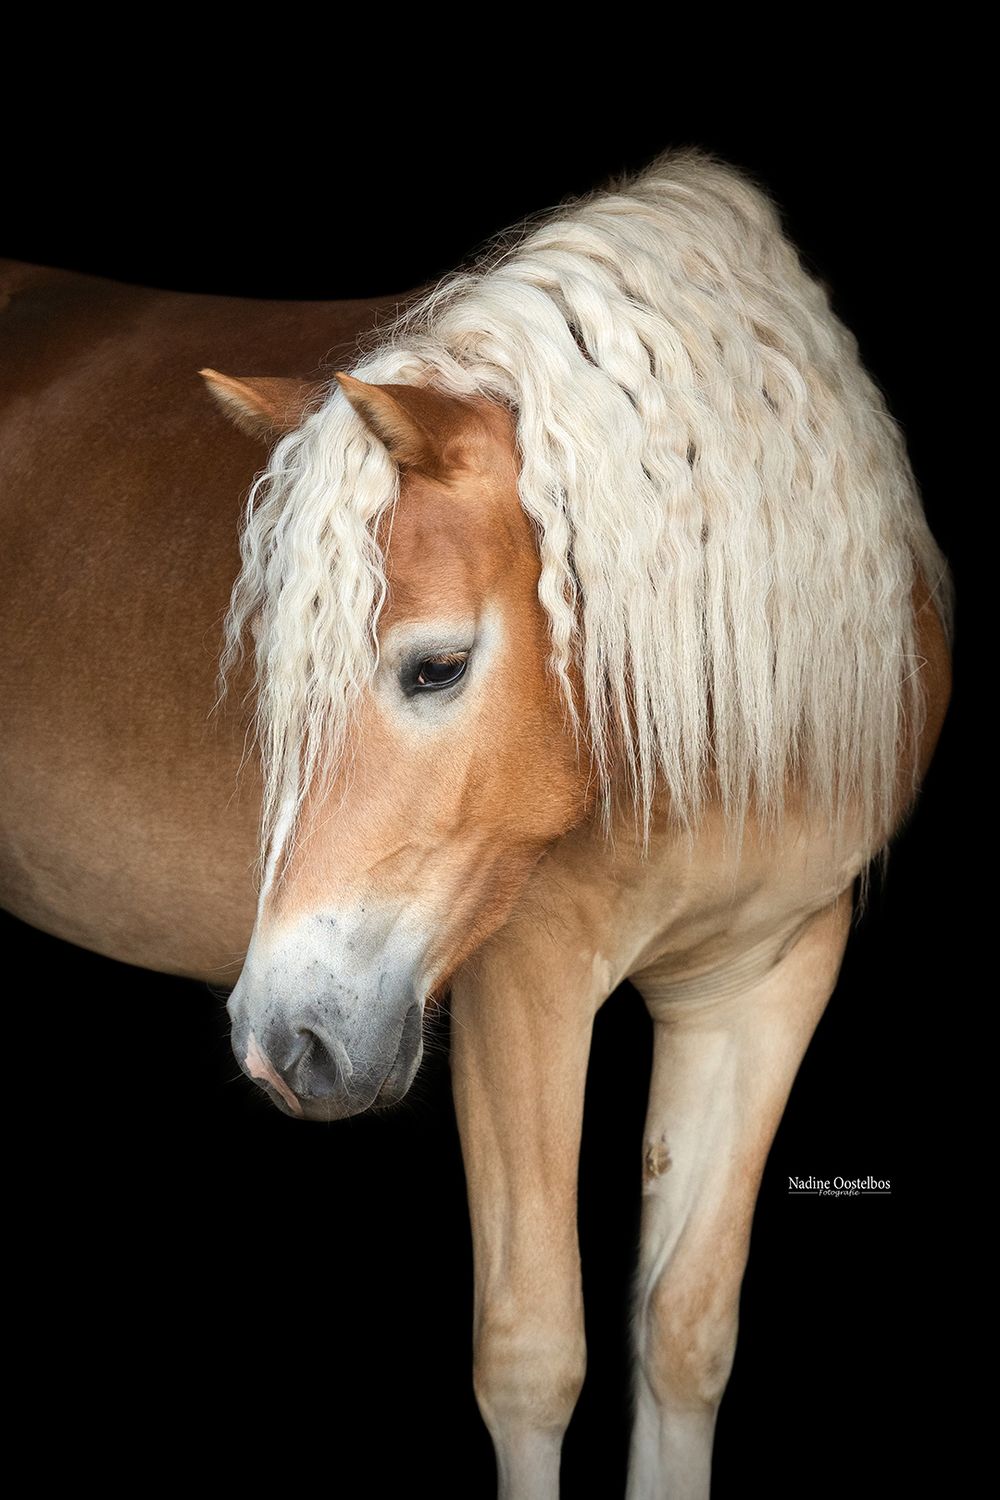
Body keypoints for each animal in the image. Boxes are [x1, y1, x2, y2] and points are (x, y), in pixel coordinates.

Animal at [0, 148, 952, 1499]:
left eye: (436, 668)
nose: (281, 1040)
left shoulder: (763, 978)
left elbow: (683, 1338)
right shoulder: (521, 985)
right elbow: (532, 1357)